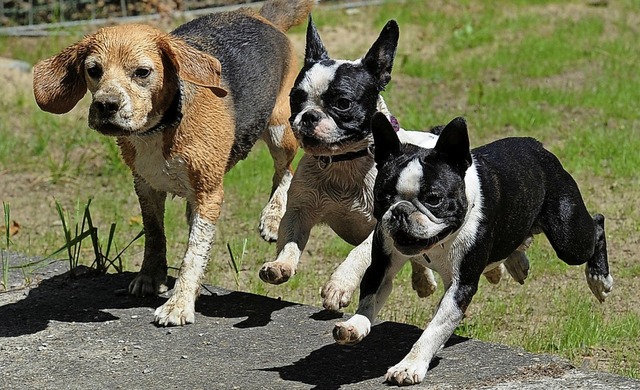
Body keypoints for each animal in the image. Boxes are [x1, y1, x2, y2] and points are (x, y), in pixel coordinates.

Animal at [33, 0, 314, 326]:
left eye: (142, 72)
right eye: (93, 70)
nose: (106, 105)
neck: (159, 127)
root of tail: (258, 16)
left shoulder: (209, 194)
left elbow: (193, 254)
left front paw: (179, 303)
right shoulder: (146, 185)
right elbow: (155, 234)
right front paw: (150, 277)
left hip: (280, 130)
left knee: (284, 172)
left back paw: (272, 216)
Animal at [332, 112, 612, 384]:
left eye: (433, 199)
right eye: (382, 196)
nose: (400, 211)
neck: (437, 243)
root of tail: (537, 146)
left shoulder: (461, 286)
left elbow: (435, 327)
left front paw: (410, 366)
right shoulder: (381, 266)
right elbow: (370, 297)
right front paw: (356, 325)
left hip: (570, 239)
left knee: (597, 225)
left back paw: (599, 278)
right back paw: (517, 262)